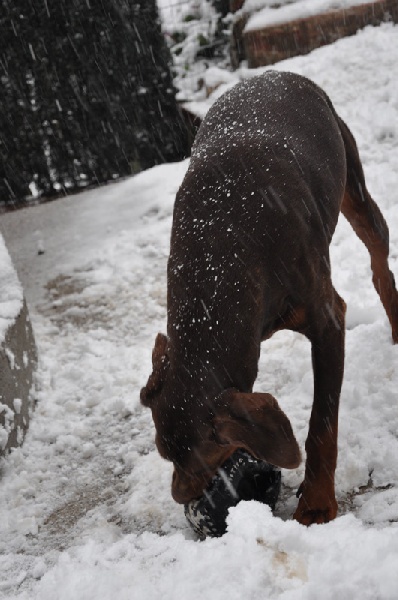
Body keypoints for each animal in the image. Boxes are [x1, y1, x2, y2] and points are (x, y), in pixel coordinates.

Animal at [141, 71, 398, 524]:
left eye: (203, 457)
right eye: (164, 455)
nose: (182, 499)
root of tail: (276, 73)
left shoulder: (327, 318)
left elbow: (322, 424)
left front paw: (317, 503)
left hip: (352, 180)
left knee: (380, 263)